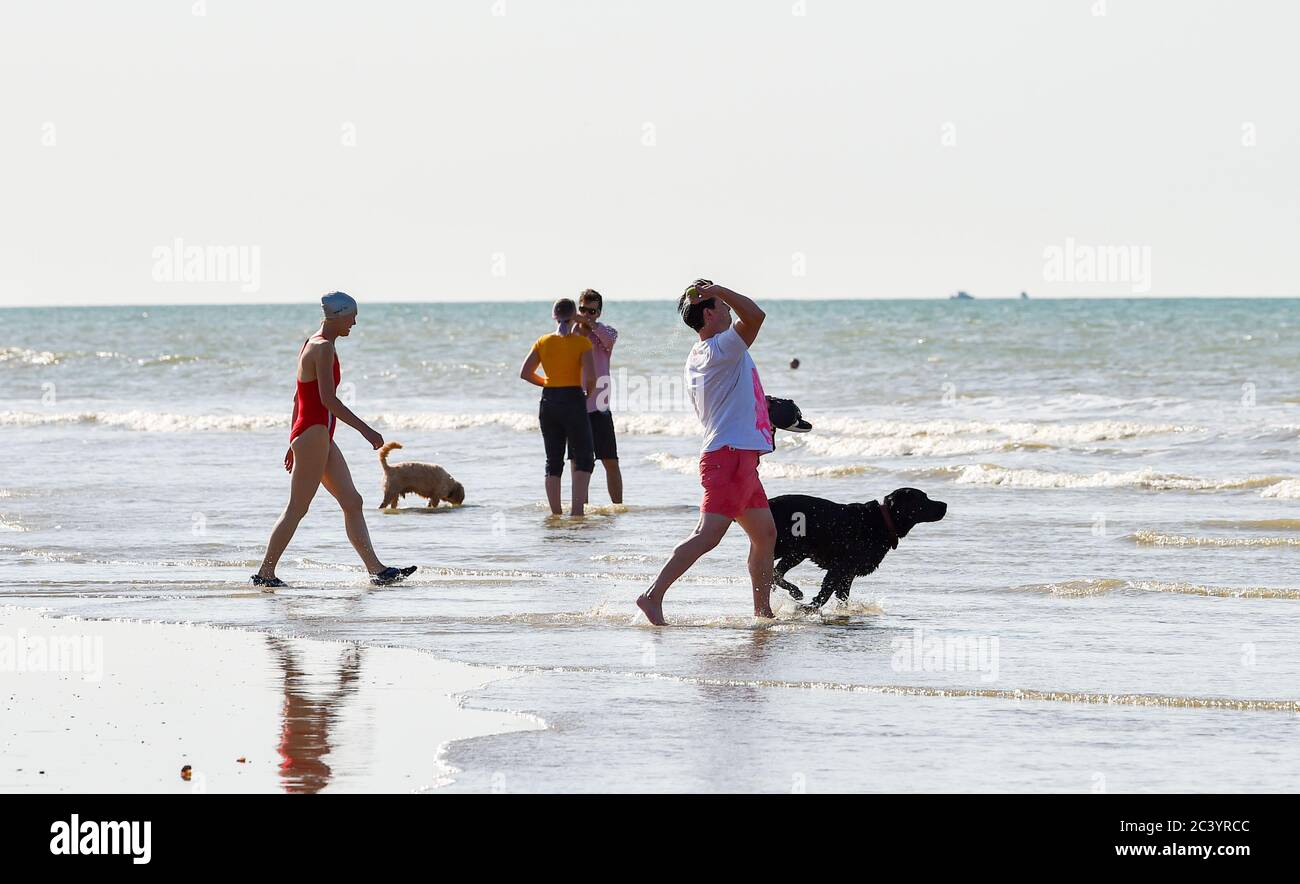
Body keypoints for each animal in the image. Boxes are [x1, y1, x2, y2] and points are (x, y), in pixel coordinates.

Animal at [769, 486, 946, 611]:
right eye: (924, 498)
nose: (944, 505)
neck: (882, 520)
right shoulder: (840, 567)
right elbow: (825, 594)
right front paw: (809, 608)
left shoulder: (848, 572)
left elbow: (842, 596)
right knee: (774, 571)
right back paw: (794, 592)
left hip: (796, 551)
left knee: (775, 573)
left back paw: (793, 591)